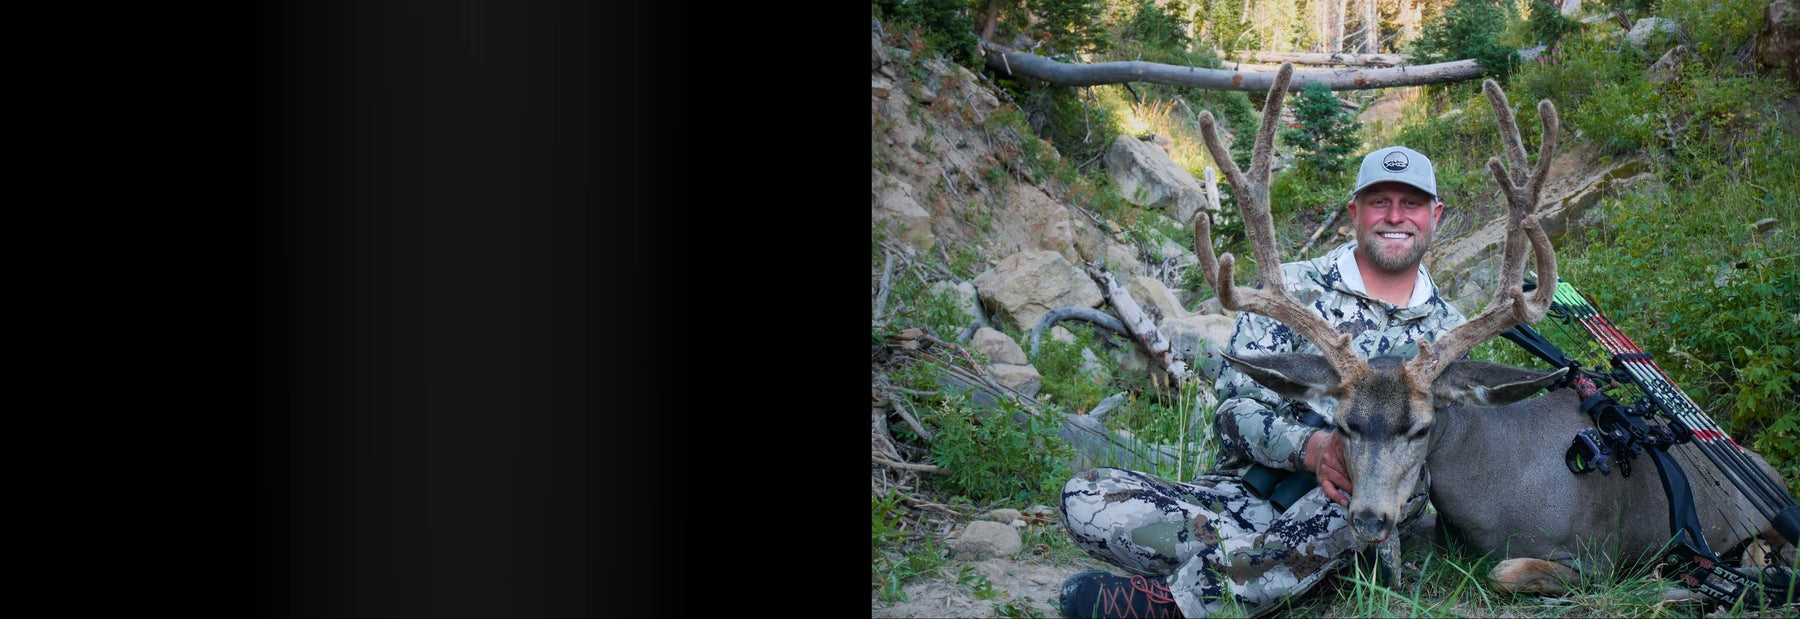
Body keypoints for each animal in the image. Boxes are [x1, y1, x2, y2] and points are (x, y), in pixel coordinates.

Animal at [1188, 63, 1793, 597]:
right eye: (1342, 426)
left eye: (1421, 428)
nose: (1369, 519)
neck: (1498, 492)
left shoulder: (1599, 556)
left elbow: (1505, 571)